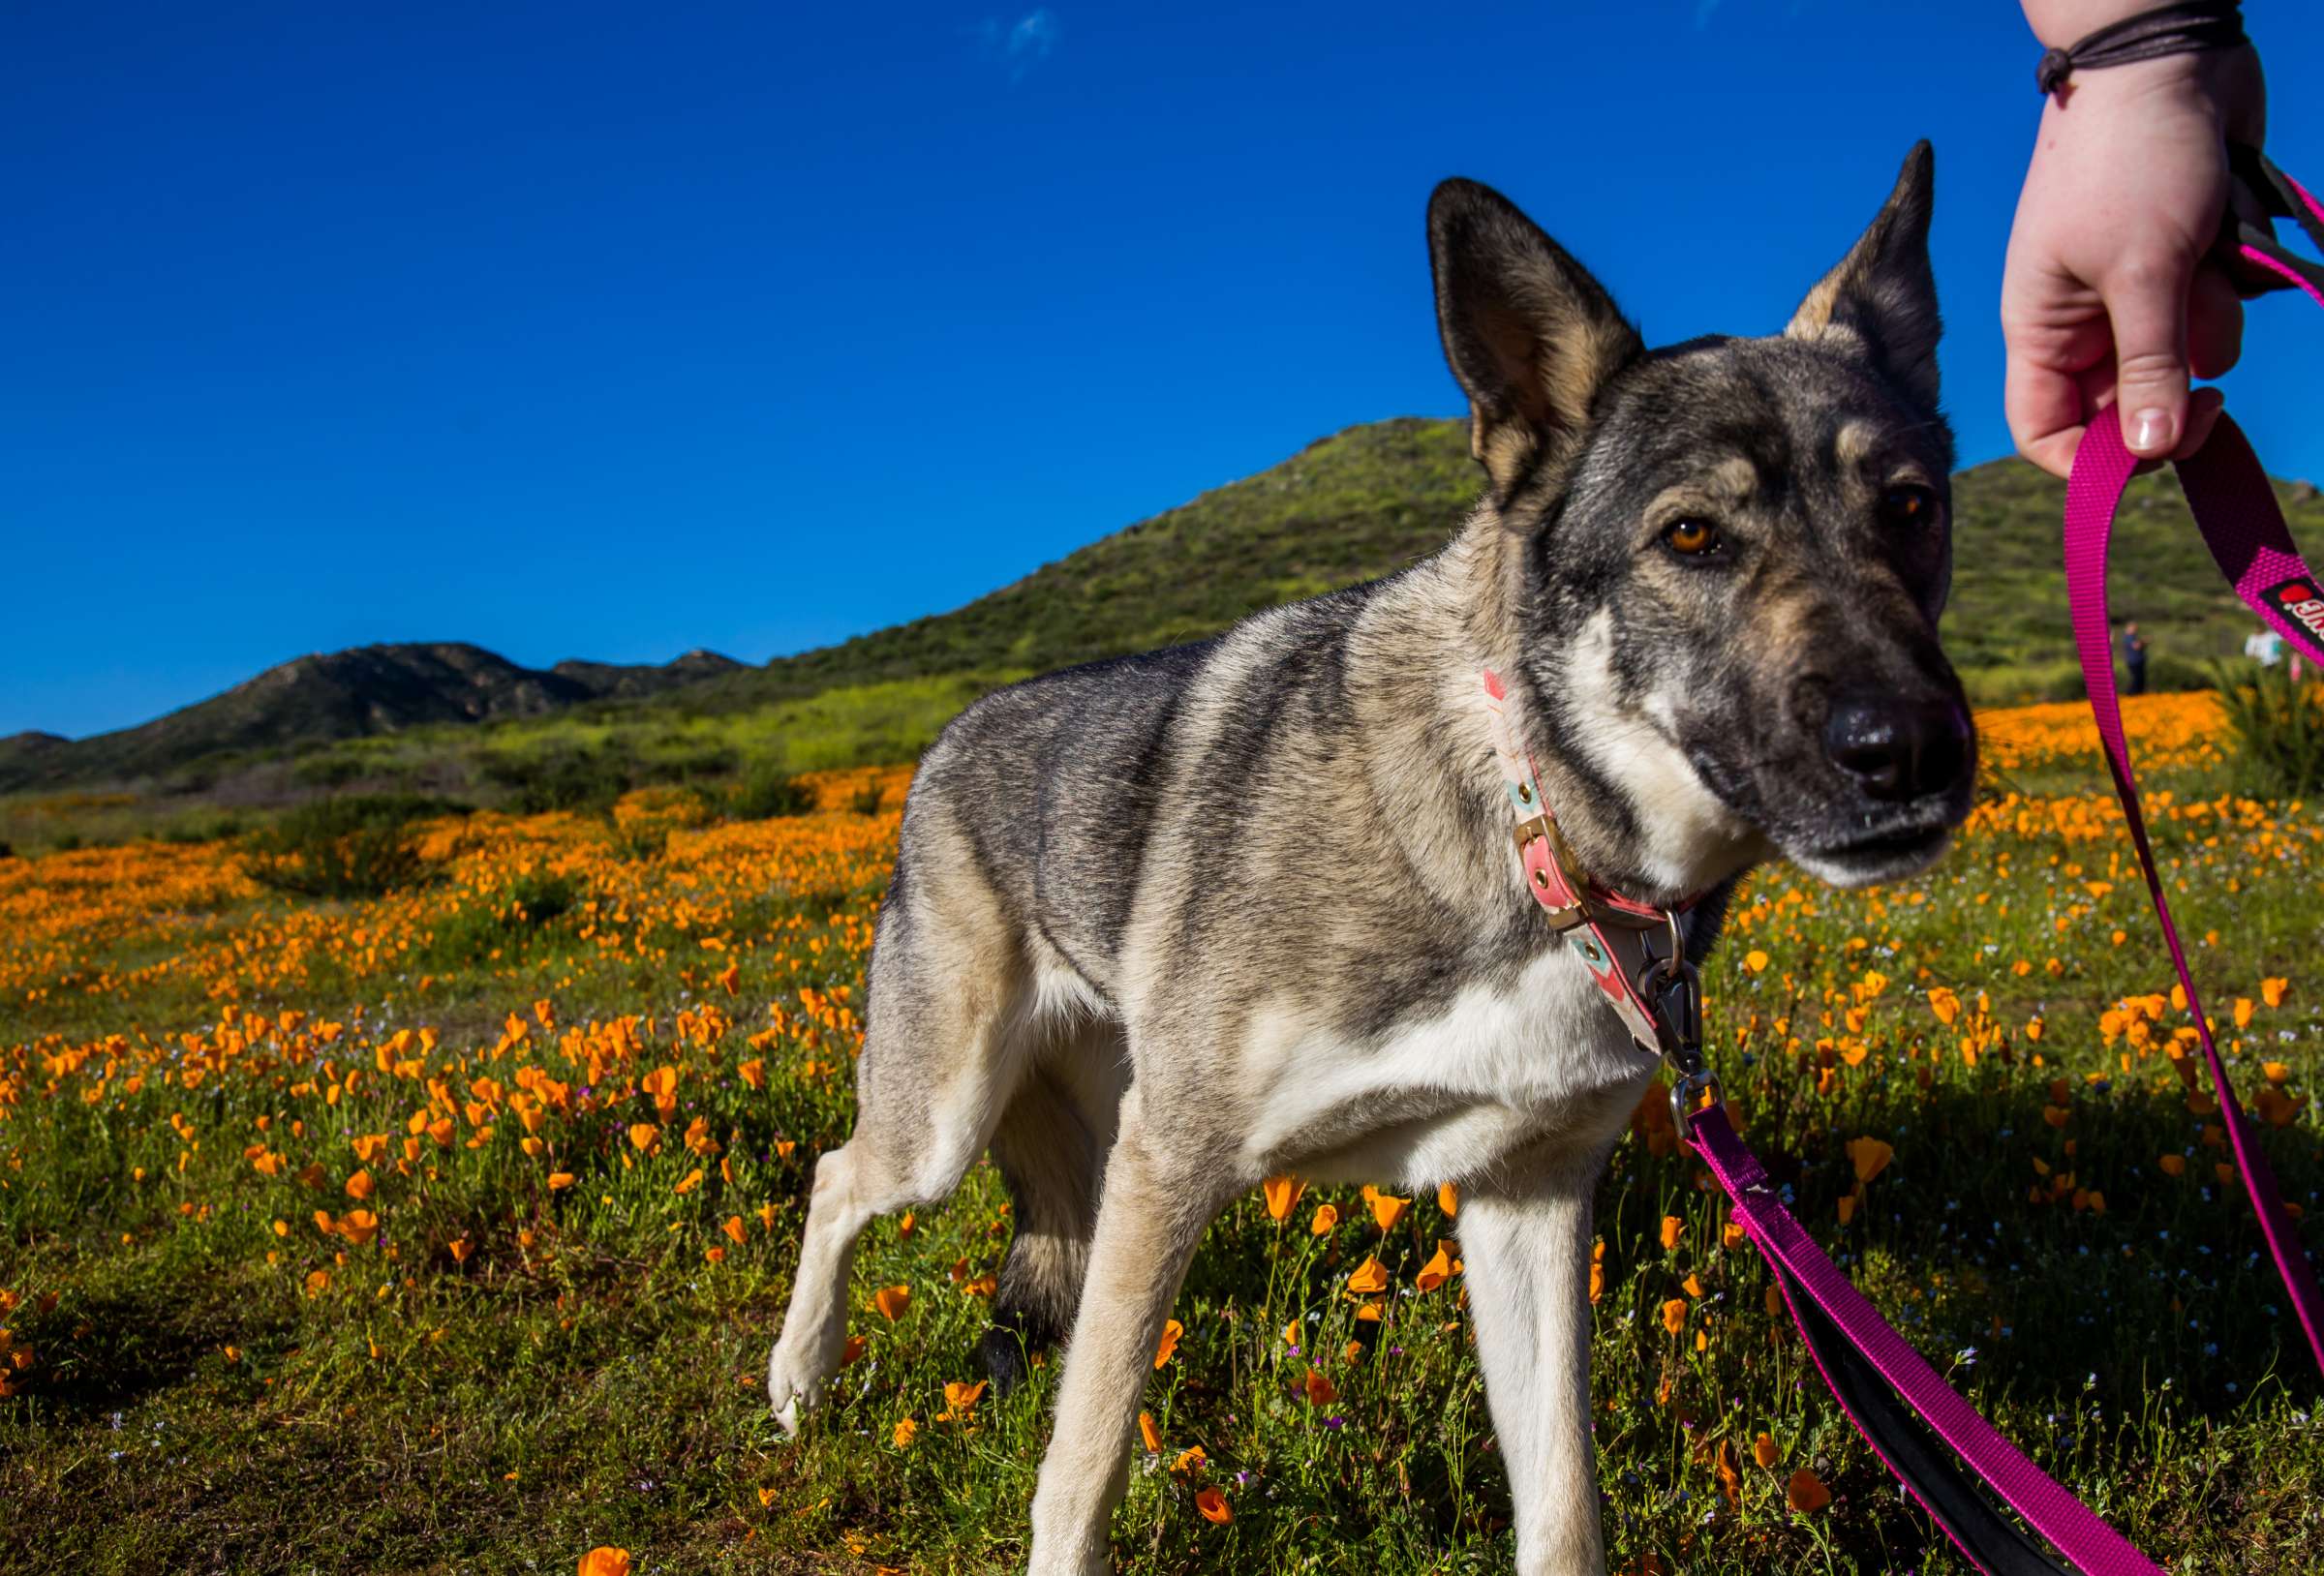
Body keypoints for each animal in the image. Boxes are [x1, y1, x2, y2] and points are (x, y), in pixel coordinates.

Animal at [771, 141, 1971, 1571]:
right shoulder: (1172, 1163)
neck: (1534, 829)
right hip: (947, 1119)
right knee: (840, 1182)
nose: (1914, 748)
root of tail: (948, 737)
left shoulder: (1525, 1197)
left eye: (1911, 510)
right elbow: (1081, 1465)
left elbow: (1564, 1505)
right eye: (1690, 536)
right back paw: (797, 1382)